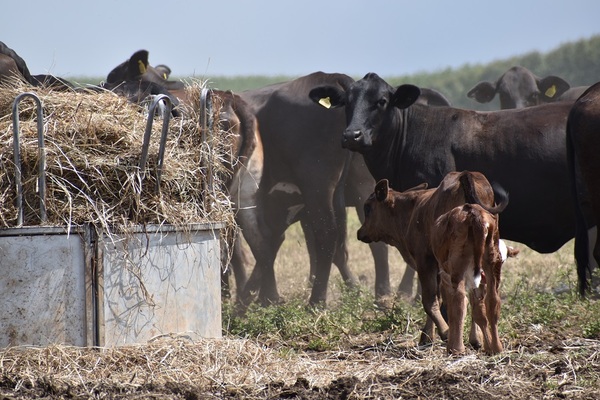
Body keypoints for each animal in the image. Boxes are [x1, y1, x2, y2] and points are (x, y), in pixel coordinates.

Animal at [432, 205, 506, 354]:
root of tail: (473, 212)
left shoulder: (446, 277)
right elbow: (479, 312)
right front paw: (486, 345)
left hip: (458, 265)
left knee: (460, 301)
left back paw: (456, 348)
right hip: (492, 259)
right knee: (493, 300)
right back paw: (496, 347)